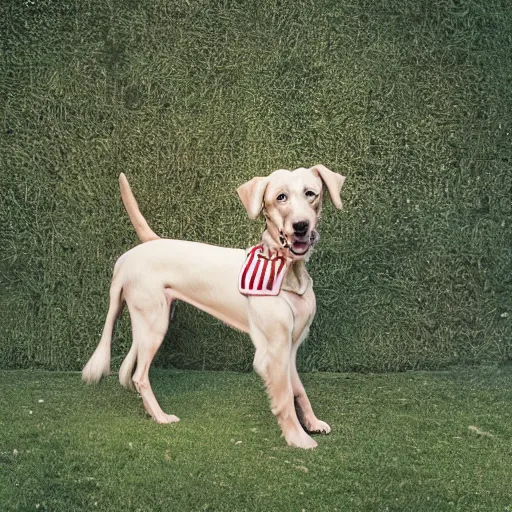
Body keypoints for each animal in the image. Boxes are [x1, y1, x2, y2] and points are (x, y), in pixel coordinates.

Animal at [84, 165, 346, 448]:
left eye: (311, 193)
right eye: (281, 197)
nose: (301, 226)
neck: (287, 271)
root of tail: (139, 250)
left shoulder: (290, 346)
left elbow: (298, 389)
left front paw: (311, 423)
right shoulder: (273, 350)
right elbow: (285, 395)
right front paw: (298, 438)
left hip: (149, 321)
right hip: (154, 326)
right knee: (139, 375)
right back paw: (160, 416)